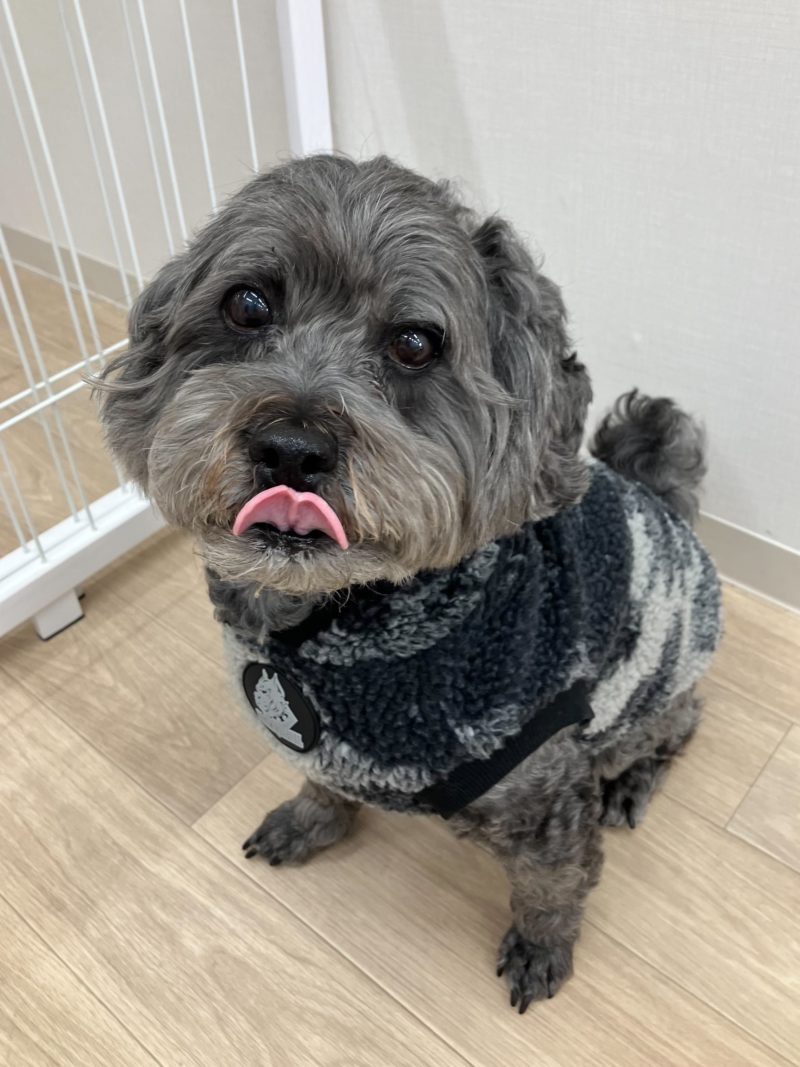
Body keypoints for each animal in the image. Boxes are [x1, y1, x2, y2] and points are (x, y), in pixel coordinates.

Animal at [98, 154, 722, 1013]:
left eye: (416, 343)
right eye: (247, 304)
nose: (290, 448)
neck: (343, 616)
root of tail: (664, 502)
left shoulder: (544, 790)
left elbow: (552, 882)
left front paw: (542, 947)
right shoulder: (324, 743)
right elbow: (321, 782)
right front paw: (308, 820)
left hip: (645, 695)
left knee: (680, 725)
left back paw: (631, 783)